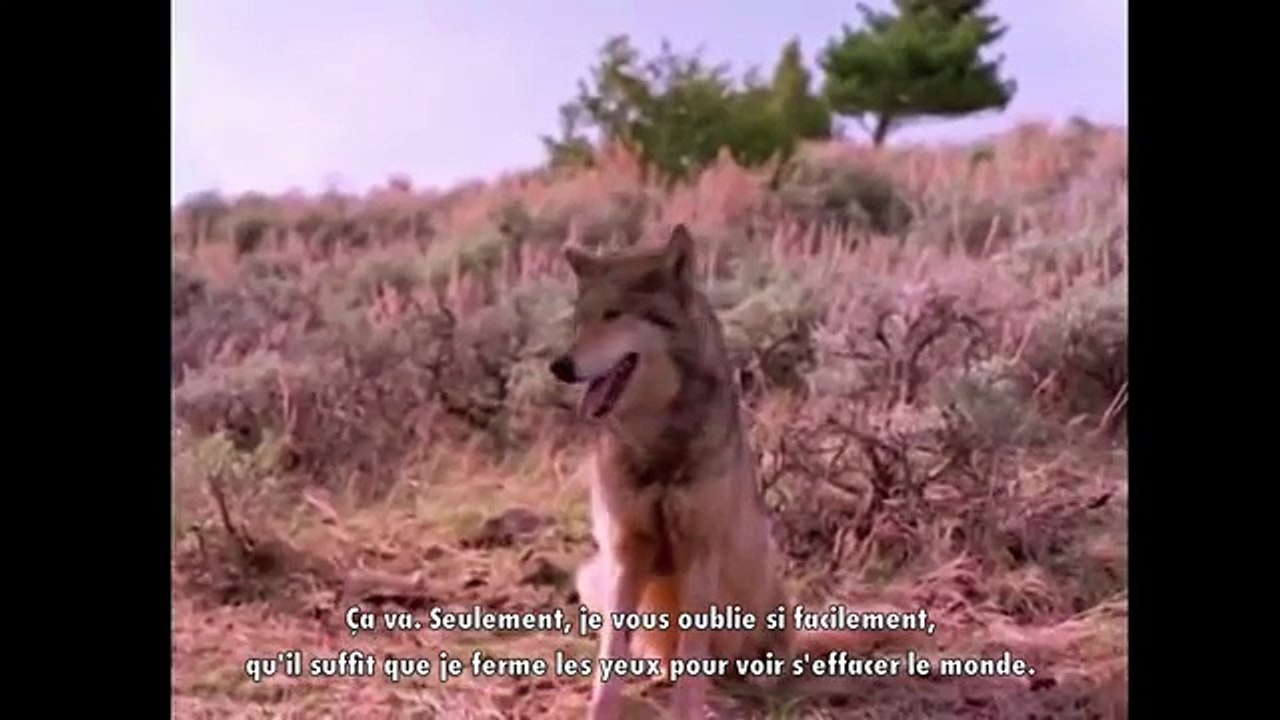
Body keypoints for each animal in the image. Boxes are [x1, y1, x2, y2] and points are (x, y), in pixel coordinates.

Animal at [550, 225, 906, 720]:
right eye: (579, 322)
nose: (560, 366)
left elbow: (691, 665)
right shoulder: (627, 549)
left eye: (613, 314)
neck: (660, 442)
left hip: (761, 584)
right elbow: (610, 663)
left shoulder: (701, 550)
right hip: (594, 576)